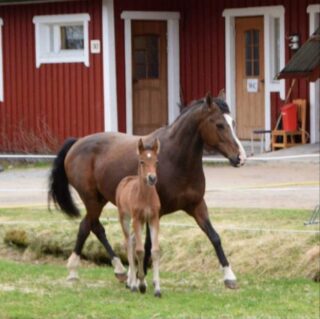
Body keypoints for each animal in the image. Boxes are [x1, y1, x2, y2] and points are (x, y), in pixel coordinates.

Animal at [115, 139, 161, 298]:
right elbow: (140, 251)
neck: (145, 197)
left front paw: (157, 288)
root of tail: (126, 179)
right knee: (129, 243)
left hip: (140, 223)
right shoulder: (136, 219)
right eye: (142, 161)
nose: (152, 178)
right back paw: (133, 284)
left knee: (133, 240)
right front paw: (140, 284)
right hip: (125, 218)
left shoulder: (153, 219)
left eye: (156, 161)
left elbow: (154, 251)